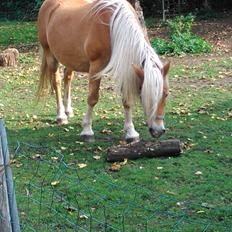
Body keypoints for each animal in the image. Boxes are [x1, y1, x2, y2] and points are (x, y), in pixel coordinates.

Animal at [36, 0, 170, 141]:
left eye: (166, 94)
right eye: (145, 94)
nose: (158, 130)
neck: (113, 29)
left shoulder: (124, 69)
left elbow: (127, 101)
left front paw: (131, 133)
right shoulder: (96, 67)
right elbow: (92, 98)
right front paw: (87, 131)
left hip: (70, 59)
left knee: (67, 78)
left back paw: (68, 111)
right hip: (50, 55)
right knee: (56, 82)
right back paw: (61, 116)